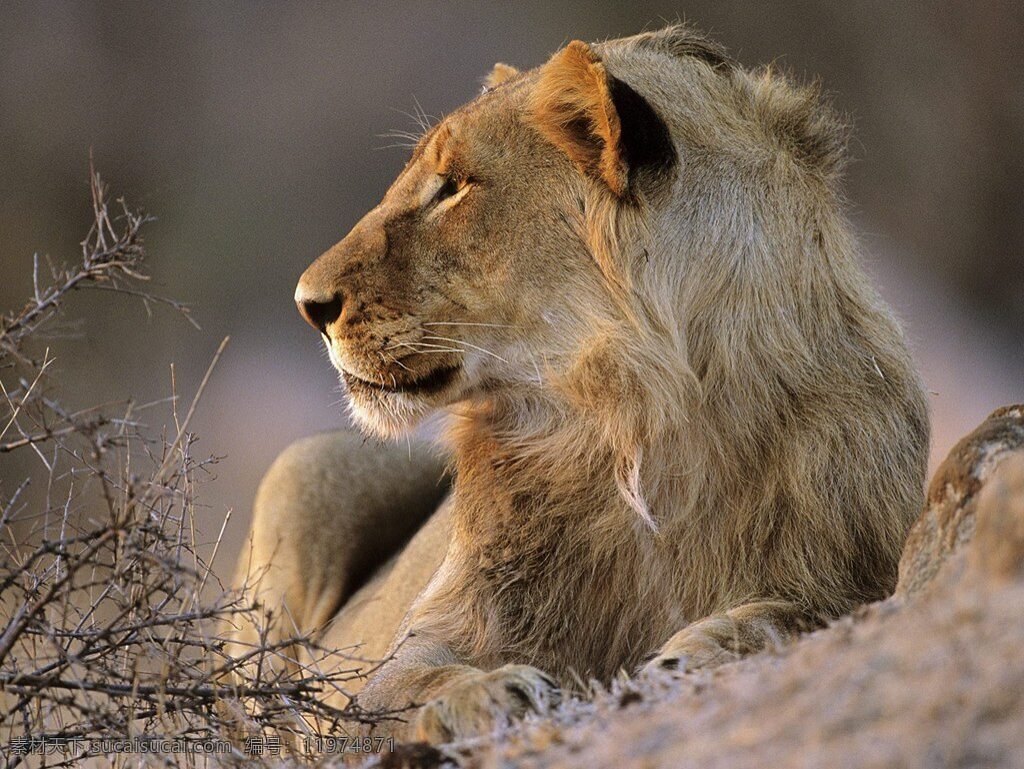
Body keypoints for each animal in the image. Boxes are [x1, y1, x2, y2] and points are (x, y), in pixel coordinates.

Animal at [228, 25, 933, 745]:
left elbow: (802, 610)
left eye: (453, 188)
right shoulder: (419, 646)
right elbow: (399, 689)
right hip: (309, 464)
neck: (633, 420)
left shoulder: (862, 565)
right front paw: (486, 691)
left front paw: (702, 646)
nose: (307, 304)